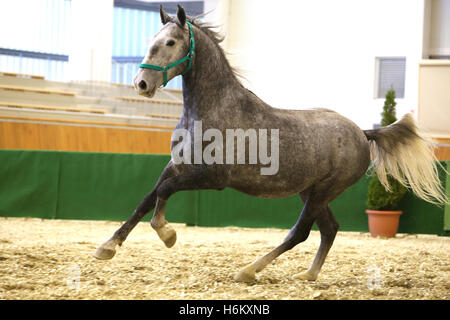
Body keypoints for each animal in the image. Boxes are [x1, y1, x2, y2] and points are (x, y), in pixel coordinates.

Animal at [95, 5, 446, 282]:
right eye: (152, 40)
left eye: (170, 42)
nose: (141, 83)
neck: (212, 109)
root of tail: (362, 132)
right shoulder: (178, 165)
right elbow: (147, 198)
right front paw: (107, 247)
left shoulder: (213, 177)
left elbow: (164, 193)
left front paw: (167, 233)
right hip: (312, 190)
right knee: (329, 229)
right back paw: (308, 274)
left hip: (323, 190)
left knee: (301, 232)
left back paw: (249, 270)